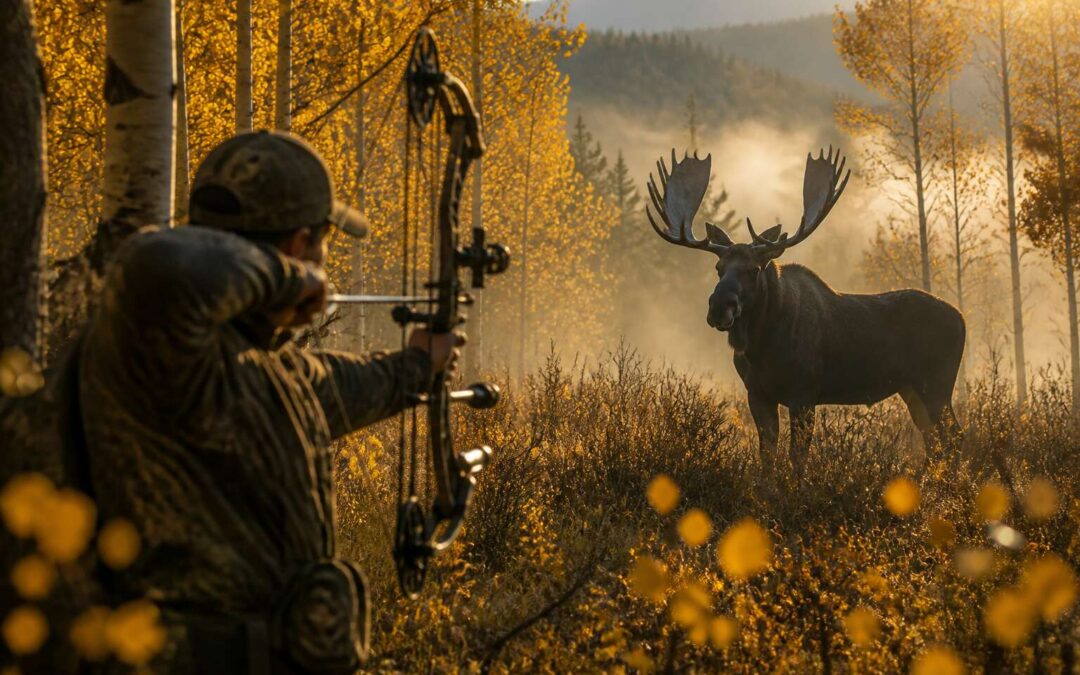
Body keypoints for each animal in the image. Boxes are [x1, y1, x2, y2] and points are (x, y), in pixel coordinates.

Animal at [646, 147, 965, 476]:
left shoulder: (804, 393)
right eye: (718, 268)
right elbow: (767, 459)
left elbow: (797, 461)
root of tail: (961, 318)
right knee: (935, 443)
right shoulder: (757, 394)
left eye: (754, 269)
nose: (720, 308)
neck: (761, 346)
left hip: (937, 385)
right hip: (911, 389)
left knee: (955, 438)